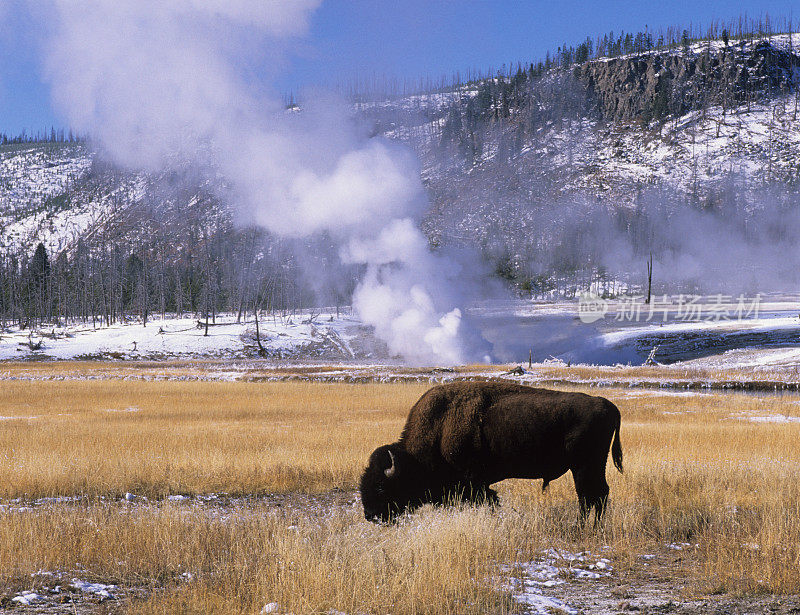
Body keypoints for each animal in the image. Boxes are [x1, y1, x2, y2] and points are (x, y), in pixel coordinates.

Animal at [360, 380, 620, 524]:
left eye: (381, 486)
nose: (370, 515)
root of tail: (607, 404)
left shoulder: (475, 485)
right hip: (589, 466)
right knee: (597, 495)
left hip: (585, 466)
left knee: (591, 496)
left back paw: (584, 528)